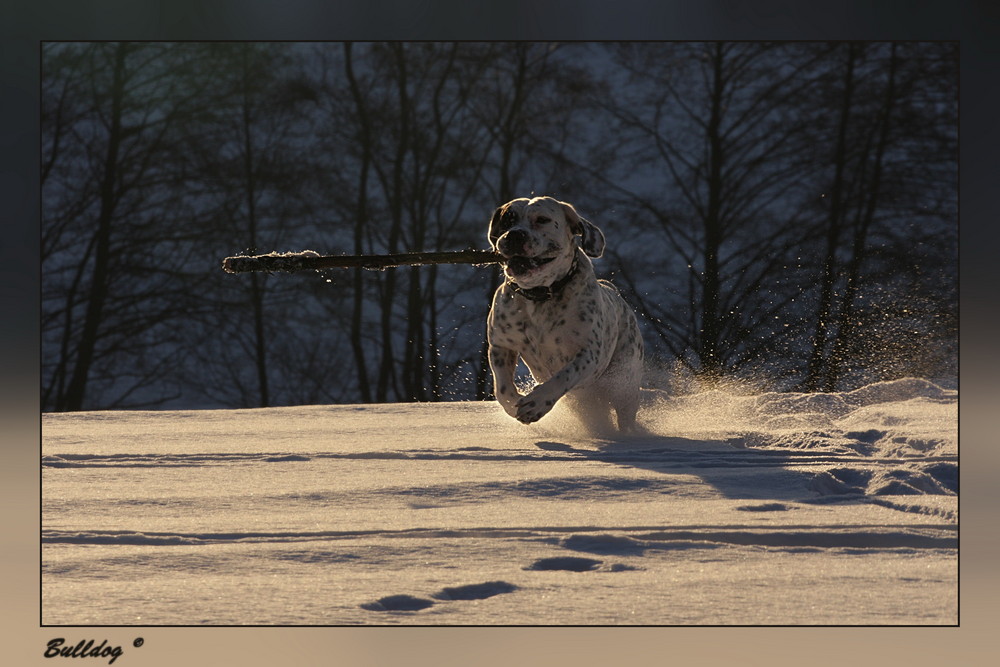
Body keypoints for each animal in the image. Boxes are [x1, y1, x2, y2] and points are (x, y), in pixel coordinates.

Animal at [488, 194, 644, 434]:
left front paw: (536, 404)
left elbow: (564, 375)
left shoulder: (588, 353)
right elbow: (502, 388)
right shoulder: (501, 344)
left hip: (624, 381)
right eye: (508, 219)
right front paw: (515, 402)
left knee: (624, 412)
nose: (515, 234)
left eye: (542, 219)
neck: (540, 295)